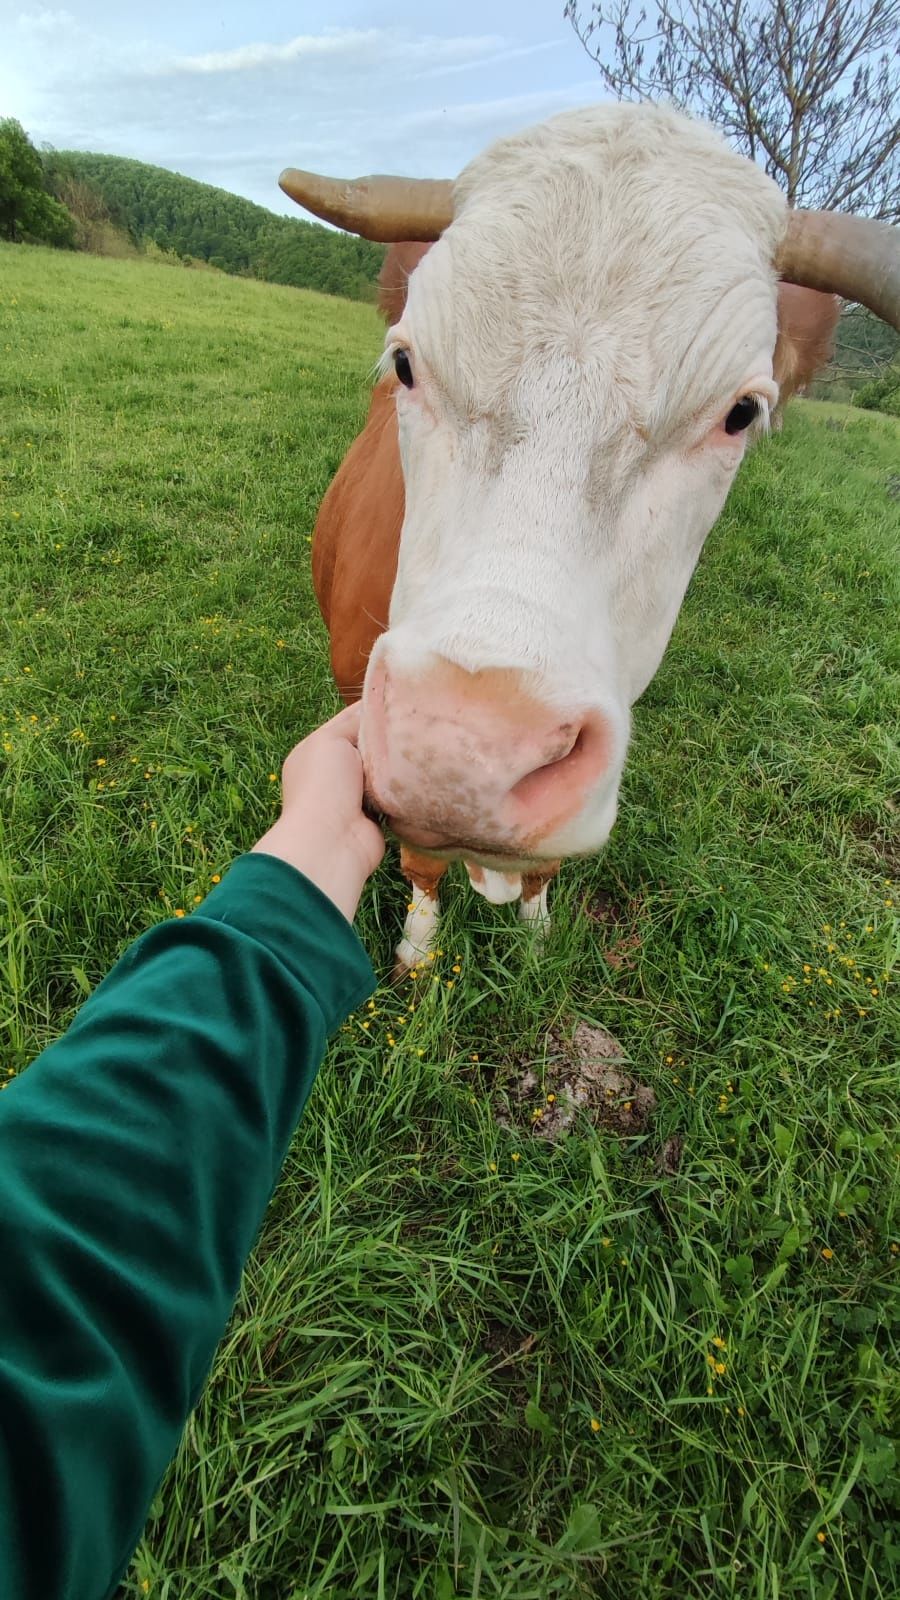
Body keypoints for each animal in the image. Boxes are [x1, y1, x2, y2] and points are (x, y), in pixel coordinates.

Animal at [277, 109, 890, 972]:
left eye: (741, 413)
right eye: (405, 363)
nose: (463, 753)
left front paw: (536, 937)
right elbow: (423, 858)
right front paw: (421, 948)